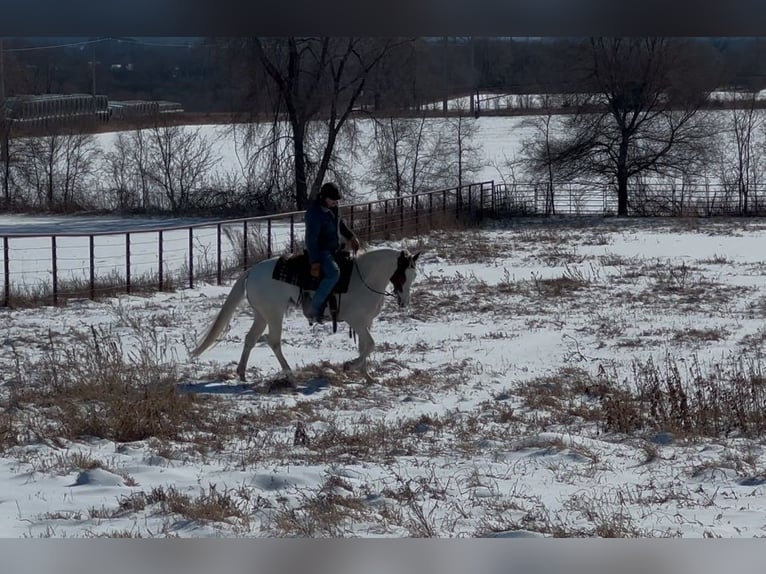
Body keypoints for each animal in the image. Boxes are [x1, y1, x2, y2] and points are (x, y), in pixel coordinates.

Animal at [192, 249, 420, 388]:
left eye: (414, 275)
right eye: (402, 274)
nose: (404, 302)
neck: (364, 278)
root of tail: (252, 271)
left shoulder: (365, 323)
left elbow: (364, 346)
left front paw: (368, 377)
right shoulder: (357, 321)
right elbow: (371, 345)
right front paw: (349, 366)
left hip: (261, 314)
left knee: (251, 338)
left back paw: (242, 373)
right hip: (274, 314)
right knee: (273, 341)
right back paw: (290, 376)